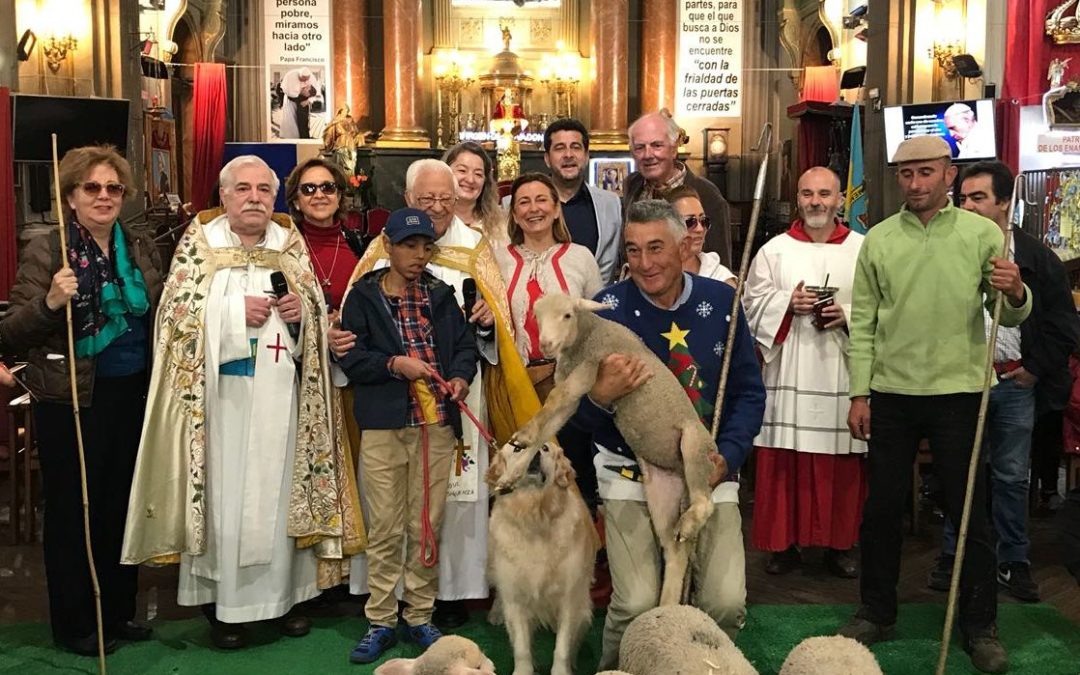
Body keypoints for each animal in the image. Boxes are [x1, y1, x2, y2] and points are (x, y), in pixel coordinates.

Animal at [494, 293, 717, 604]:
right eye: (537, 317)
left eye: (567, 315)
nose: (546, 345)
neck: (586, 335)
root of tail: (681, 473)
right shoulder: (577, 395)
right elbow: (548, 428)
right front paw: (514, 467)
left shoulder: (589, 368)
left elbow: (555, 397)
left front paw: (525, 434)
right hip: (663, 492)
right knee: (675, 553)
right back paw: (665, 606)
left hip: (693, 444)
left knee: (705, 502)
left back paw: (688, 525)